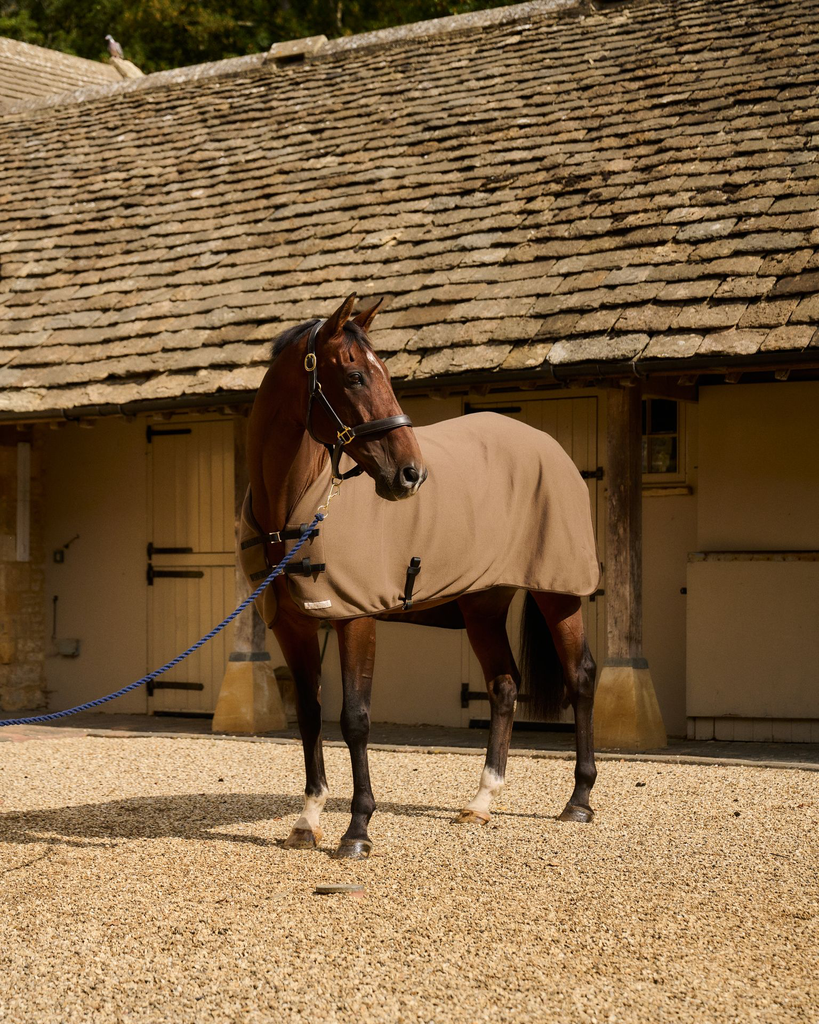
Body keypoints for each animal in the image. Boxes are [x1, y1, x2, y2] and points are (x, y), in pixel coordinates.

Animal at [243, 295, 599, 860]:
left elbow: (355, 718)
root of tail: (551, 446)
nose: (411, 475)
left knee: (580, 676)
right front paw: (307, 820)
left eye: (386, 374)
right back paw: (481, 802)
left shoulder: (355, 618)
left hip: (557, 592)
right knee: (503, 685)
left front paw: (357, 830)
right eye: (354, 377)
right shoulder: (292, 625)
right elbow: (309, 715)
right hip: (482, 606)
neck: (295, 504)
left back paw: (579, 801)